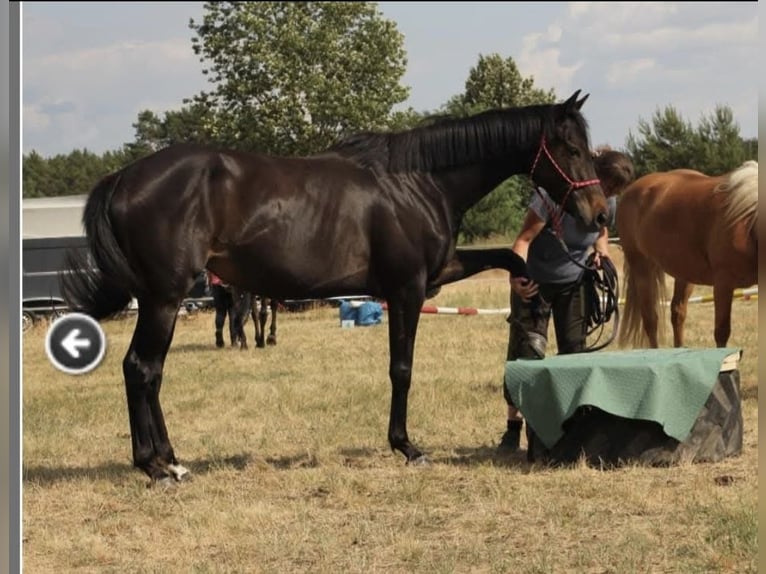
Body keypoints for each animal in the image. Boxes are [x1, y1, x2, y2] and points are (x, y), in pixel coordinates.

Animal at [61, 91, 608, 486]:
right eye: (572, 150)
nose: (599, 214)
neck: (418, 181)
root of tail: (122, 178)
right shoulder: (407, 289)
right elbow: (401, 370)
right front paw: (407, 446)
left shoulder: (439, 272)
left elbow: (510, 258)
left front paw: (530, 290)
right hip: (164, 299)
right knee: (142, 369)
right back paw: (157, 466)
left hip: (163, 301)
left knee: (148, 373)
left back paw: (170, 460)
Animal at [620, 162, 760, 352]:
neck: (747, 223)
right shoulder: (723, 283)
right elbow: (722, 332)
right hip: (641, 267)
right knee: (650, 320)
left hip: (684, 273)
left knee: (677, 313)